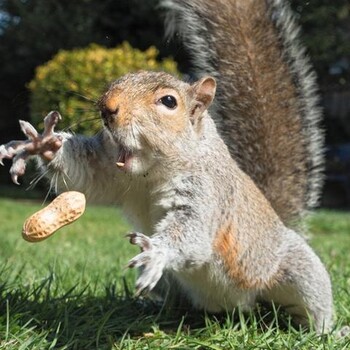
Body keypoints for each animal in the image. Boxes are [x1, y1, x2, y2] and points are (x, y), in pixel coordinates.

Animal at [0, 0, 334, 332]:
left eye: (169, 102)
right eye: (117, 81)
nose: (107, 107)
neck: (150, 174)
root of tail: (234, 309)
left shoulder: (208, 193)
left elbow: (192, 231)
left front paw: (158, 251)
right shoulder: (108, 170)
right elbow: (84, 177)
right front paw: (43, 144)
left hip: (297, 272)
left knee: (313, 305)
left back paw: (325, 330)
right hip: (172, 284)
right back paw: (153, 308)